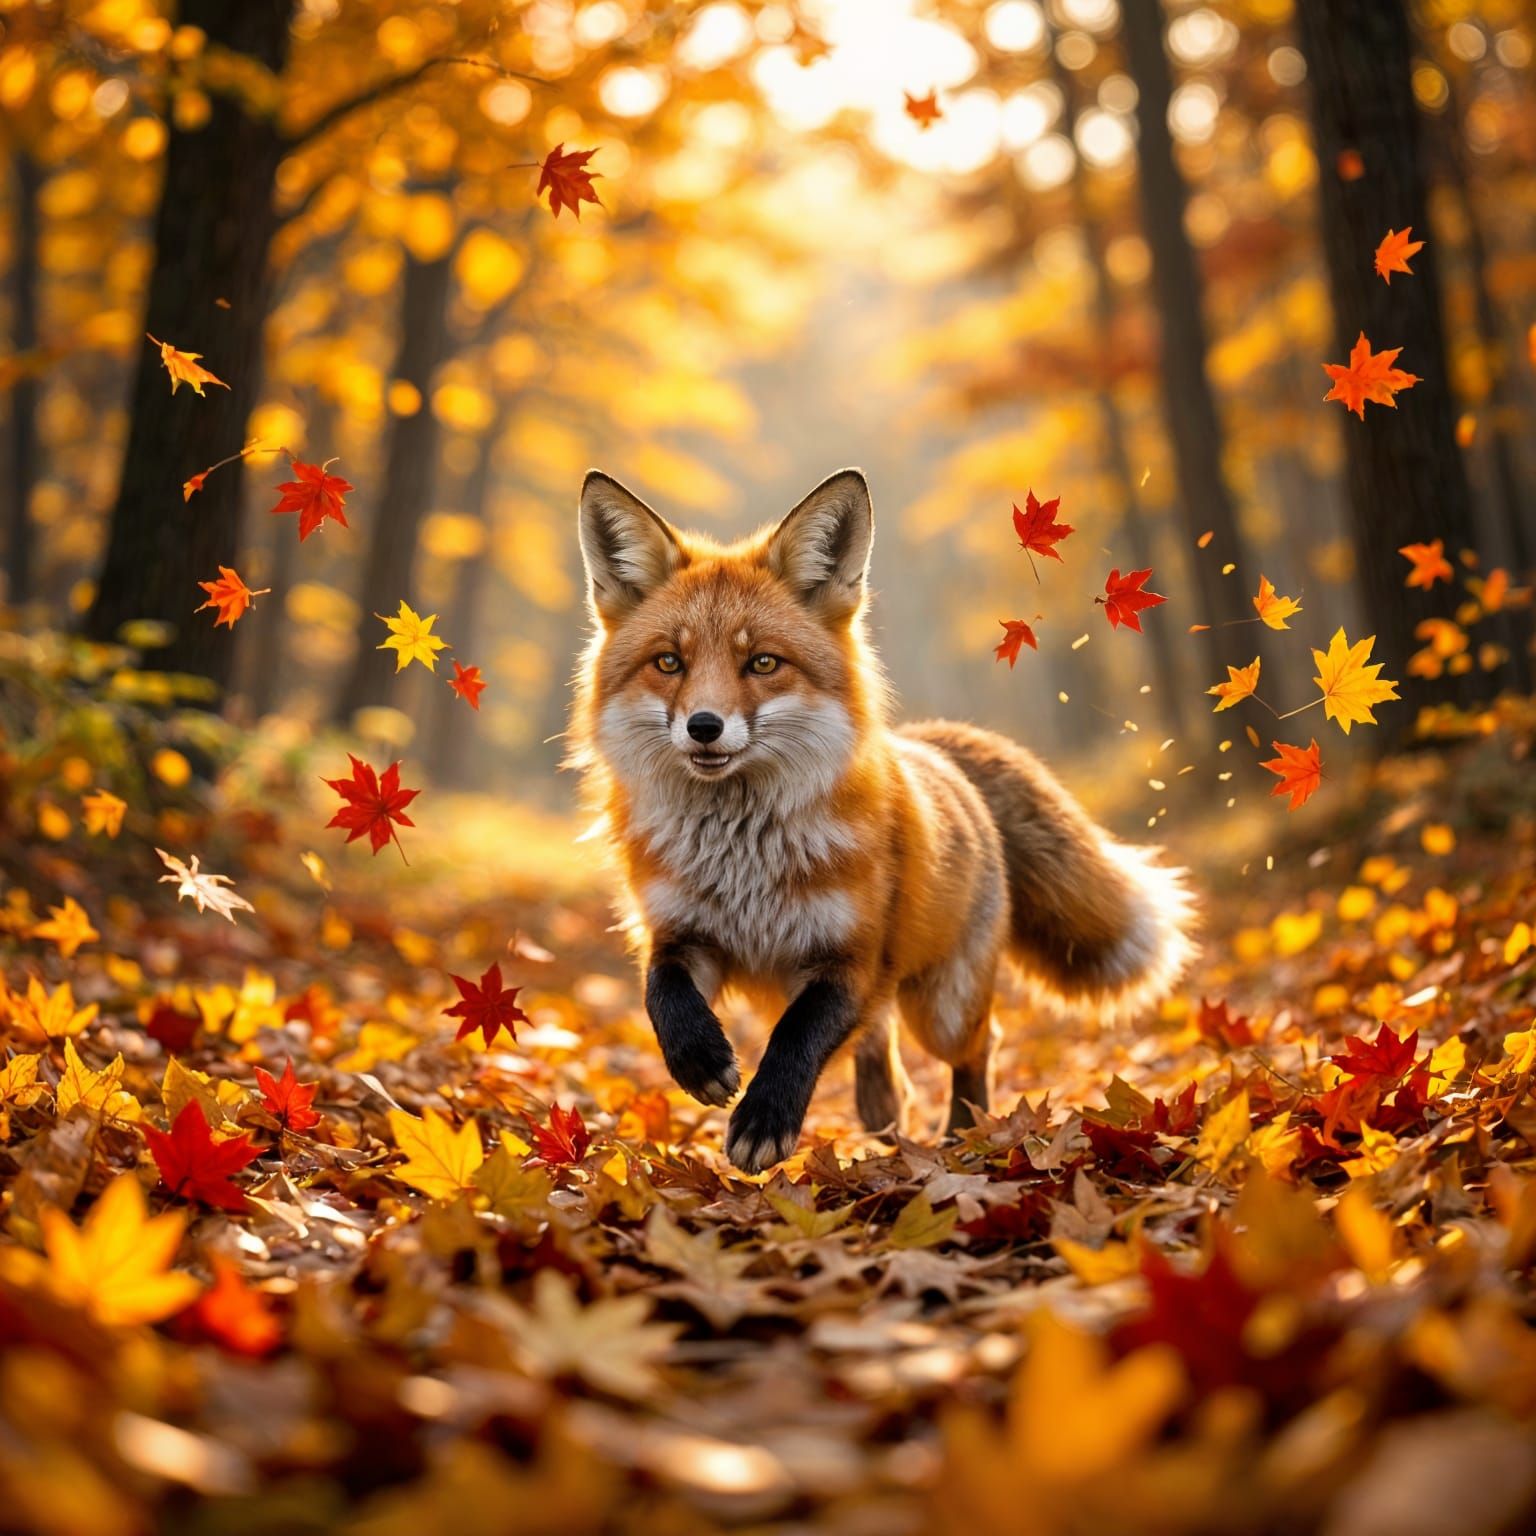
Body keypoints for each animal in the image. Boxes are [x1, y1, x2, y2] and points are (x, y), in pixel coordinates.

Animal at [570, 467, 1195, 1174]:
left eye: (763, 662)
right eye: (669, 663)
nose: (704, 726)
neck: (744, 861)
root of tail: (930, 743)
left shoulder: (854, 956)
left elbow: (797, 1034)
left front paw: (765, 1119)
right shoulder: (682, 934)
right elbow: (662, 994)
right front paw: (699, 1059)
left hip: (942, 1007)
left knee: (975, 1044)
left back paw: (964, 1135)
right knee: (878, 1041)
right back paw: (886, 1111)